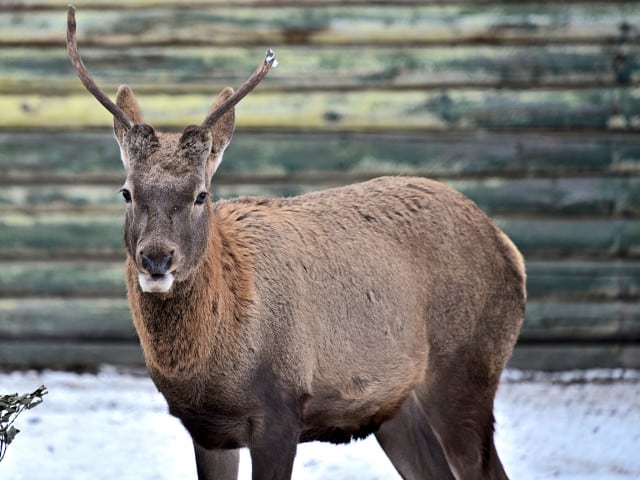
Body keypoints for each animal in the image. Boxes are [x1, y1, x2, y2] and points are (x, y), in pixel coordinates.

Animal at [66, 4, 524, 480]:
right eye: (127, 192)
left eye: (200, 194)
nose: (156, 258)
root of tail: (508, 247)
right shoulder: (207, 431)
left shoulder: (281, 409)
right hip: (395, 408)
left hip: (466, 370)